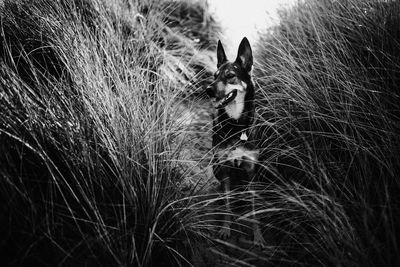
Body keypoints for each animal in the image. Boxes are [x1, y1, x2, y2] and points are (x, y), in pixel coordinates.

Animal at [206, 37, 266, 247]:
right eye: (214, 76)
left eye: (230, 75)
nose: (208, 90)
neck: (236, 125)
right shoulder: (224, 168)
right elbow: (227, 204)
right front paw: (225, 229)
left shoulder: (251, 170)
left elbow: (255, 211)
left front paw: (258, 236)